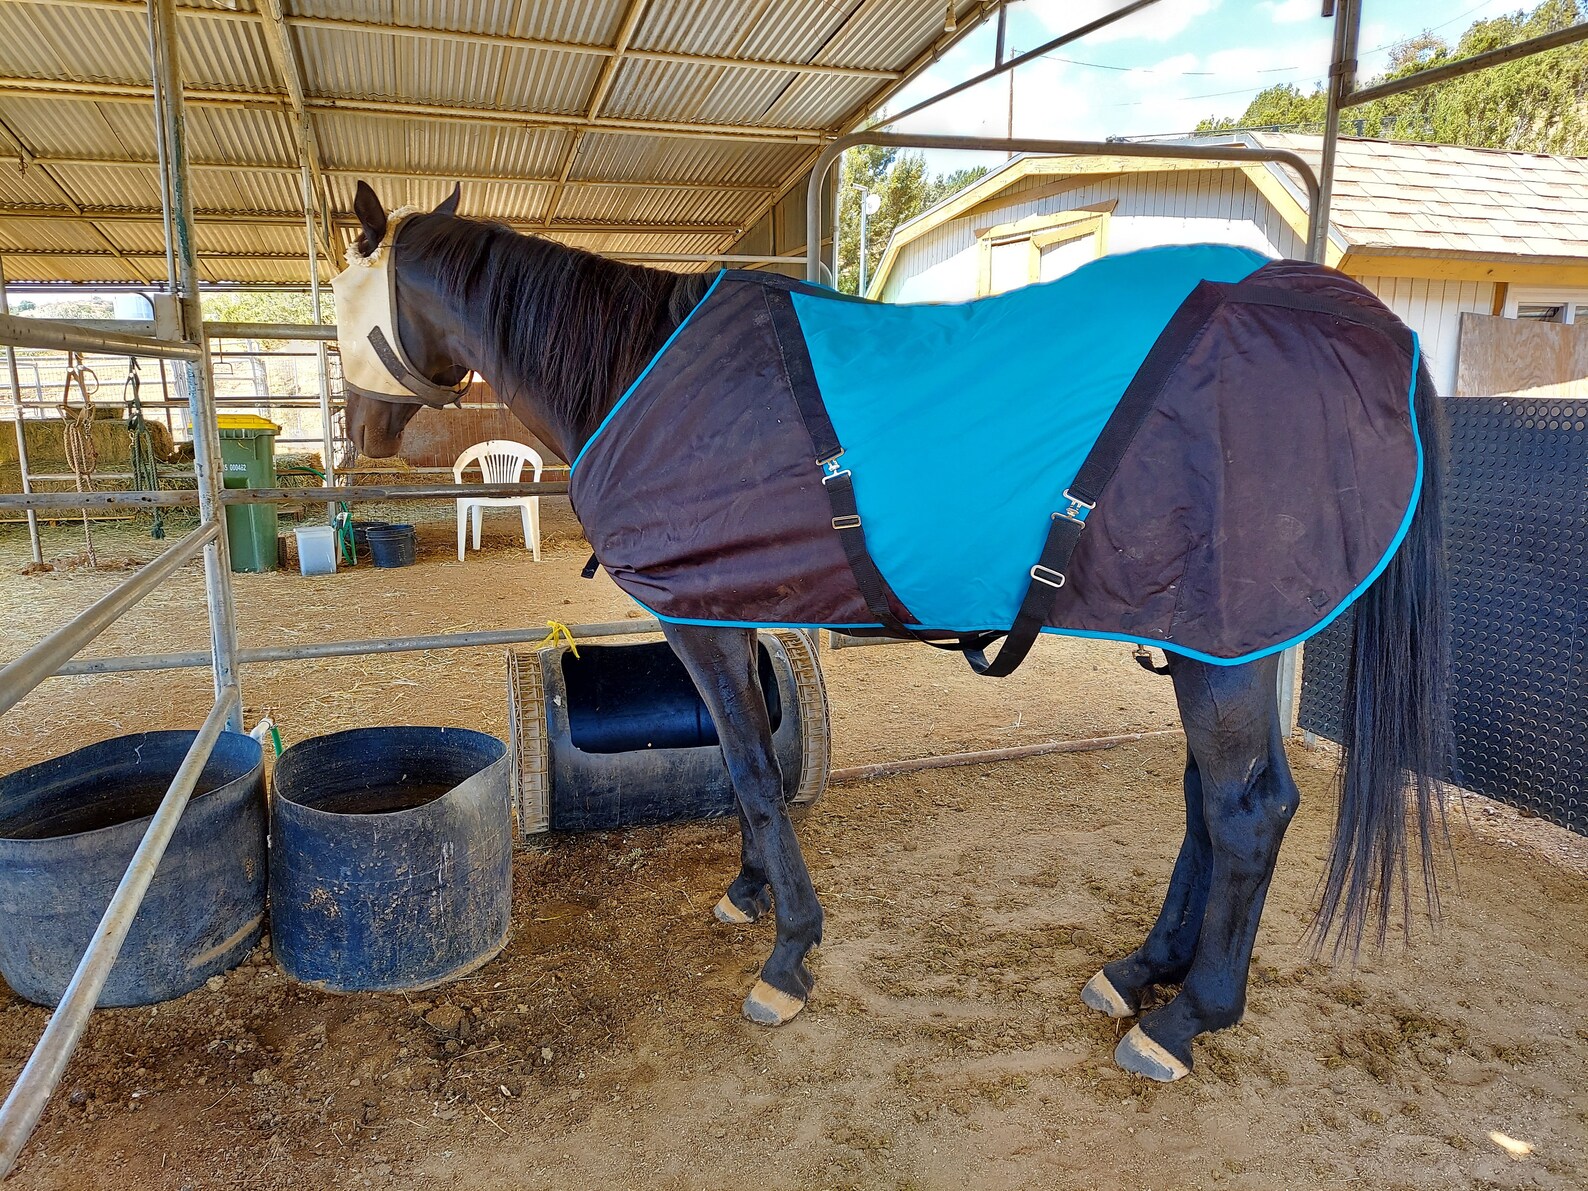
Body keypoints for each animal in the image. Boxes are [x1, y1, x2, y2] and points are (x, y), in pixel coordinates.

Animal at [336, 182, 1451, 1082]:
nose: (361, 436)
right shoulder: (739, 607)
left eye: (344, 304)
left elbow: (750, 768)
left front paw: (789, 954)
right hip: (1209, 643)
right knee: (1205, 806)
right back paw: (1140, 971)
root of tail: (1375, 333)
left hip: (1220, 647)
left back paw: (1184, 1022)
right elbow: (754, 760)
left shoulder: (698, 620)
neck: (638, 371)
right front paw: (750, 892)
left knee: (1248, 811)